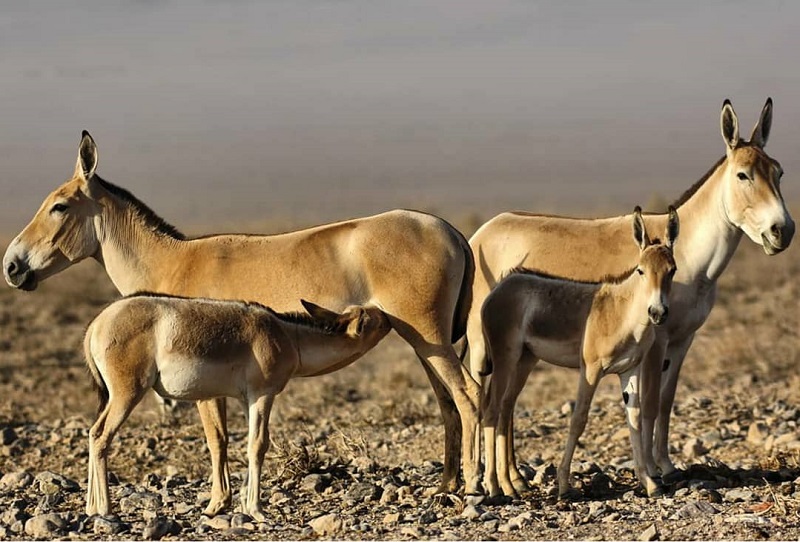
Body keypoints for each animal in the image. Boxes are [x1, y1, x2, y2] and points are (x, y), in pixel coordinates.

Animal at [84, 296, 390, 520]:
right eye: (370, 318)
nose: (386, 315)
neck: (288, 337)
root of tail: (97, 324)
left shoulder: (246, 400)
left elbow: (245, 443)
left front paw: (240, 503)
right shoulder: (262, 394)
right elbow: (258, 445)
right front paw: (256, 510)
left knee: (92, 433)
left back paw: (91, 507)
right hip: (127, 393)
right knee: (101, 436)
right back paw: (105, 509)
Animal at [482, 207, 680, 502]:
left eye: (672, 270)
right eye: (641, 270)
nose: (658, 313)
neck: (623, 314)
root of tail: (501, 286)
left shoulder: (629, 369)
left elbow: (634, 420)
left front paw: (649, 482)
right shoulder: (591, 369)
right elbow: (578, 419)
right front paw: (564, 484)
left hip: (525, 360)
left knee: (505, 409)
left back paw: (510, 484)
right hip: (504, 358)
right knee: (491, 411)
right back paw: (494, 487)